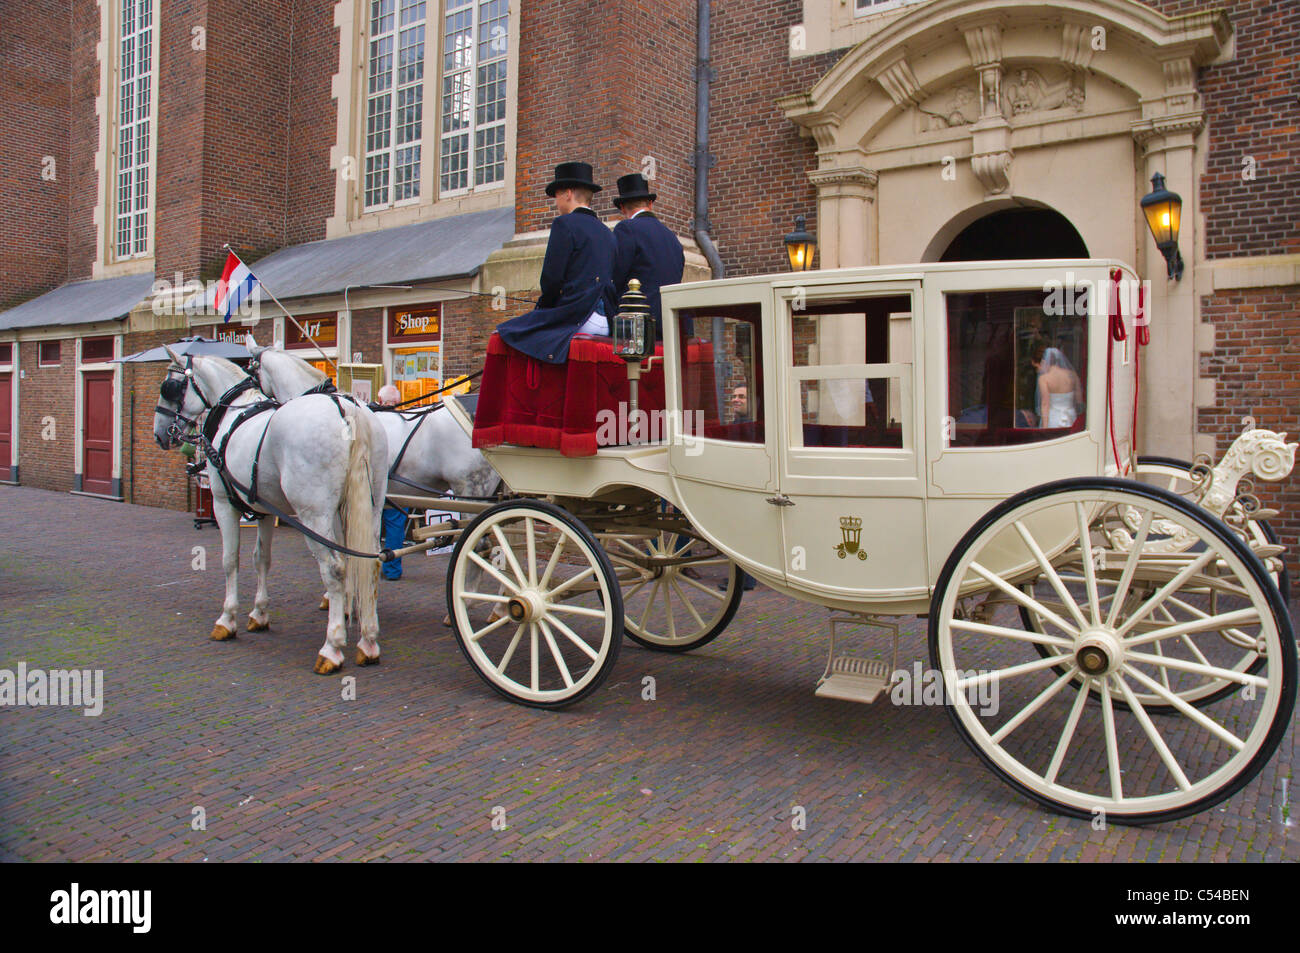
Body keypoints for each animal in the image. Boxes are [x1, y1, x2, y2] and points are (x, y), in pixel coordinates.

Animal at [155, 348, 387, 670]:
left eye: (170, 386)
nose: (160, 433)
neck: (235, 412)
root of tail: (345, 409)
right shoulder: (264, 509)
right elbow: (261, 559)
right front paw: (259, 614)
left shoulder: (223, 503)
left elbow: (230, 560)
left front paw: (227, 619)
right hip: (368, 506)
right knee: (370, 563)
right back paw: (368, 642)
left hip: (313, 515)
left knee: (335, 569)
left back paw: (331, 647)